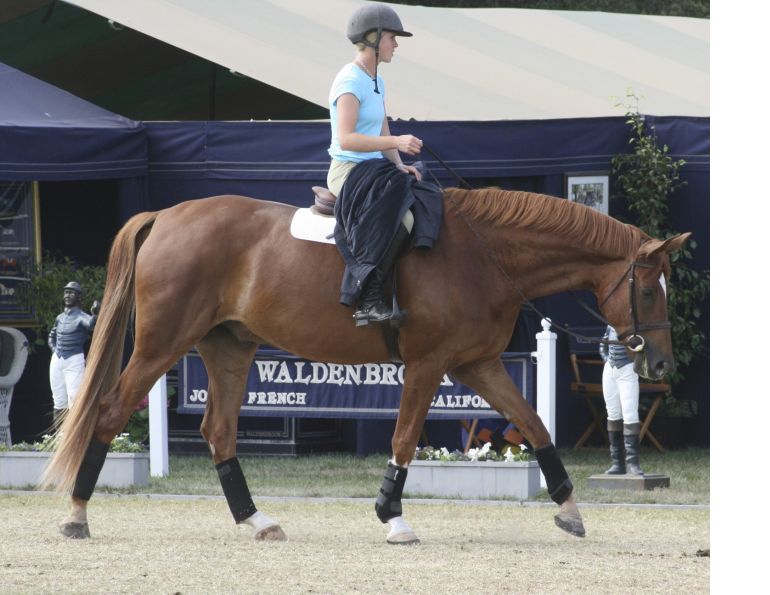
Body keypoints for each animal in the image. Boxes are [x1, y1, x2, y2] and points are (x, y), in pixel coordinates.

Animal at [43, 187, 690, 544]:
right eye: (648, 290)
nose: (659, 363)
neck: (485, 253)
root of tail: (168, 214)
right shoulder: (429, 364)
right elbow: (404, 438)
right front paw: (392, 516)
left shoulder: (480, 365)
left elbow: (534, 425)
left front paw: (570, 508)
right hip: (163, 344)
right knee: (108, 410)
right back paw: (76, 515)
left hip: (228, 347)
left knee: (218, 430)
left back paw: (256, 520)